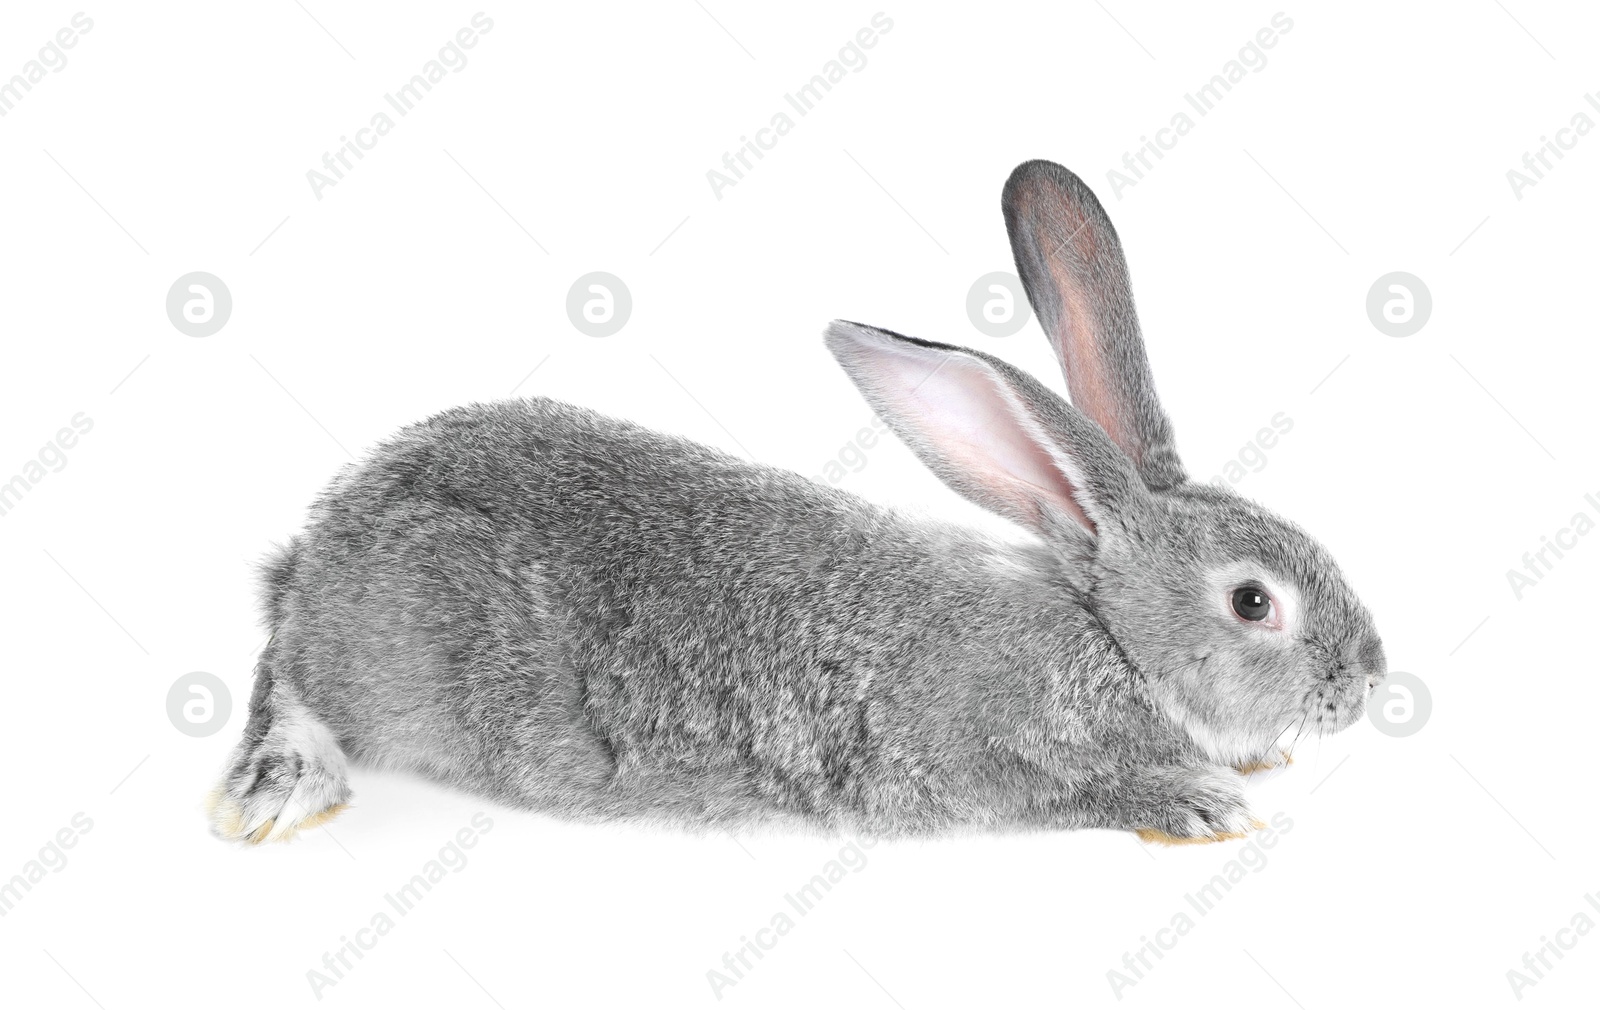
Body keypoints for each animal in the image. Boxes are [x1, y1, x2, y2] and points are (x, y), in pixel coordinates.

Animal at [209, 161, 1388, 851]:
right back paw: (277, 786)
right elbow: (1063, 792)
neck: (1106, 634)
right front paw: (1196, 804)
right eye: (1252, 602)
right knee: (289, 681)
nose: (1368, 683)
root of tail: (321, 544)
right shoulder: (971, 762)